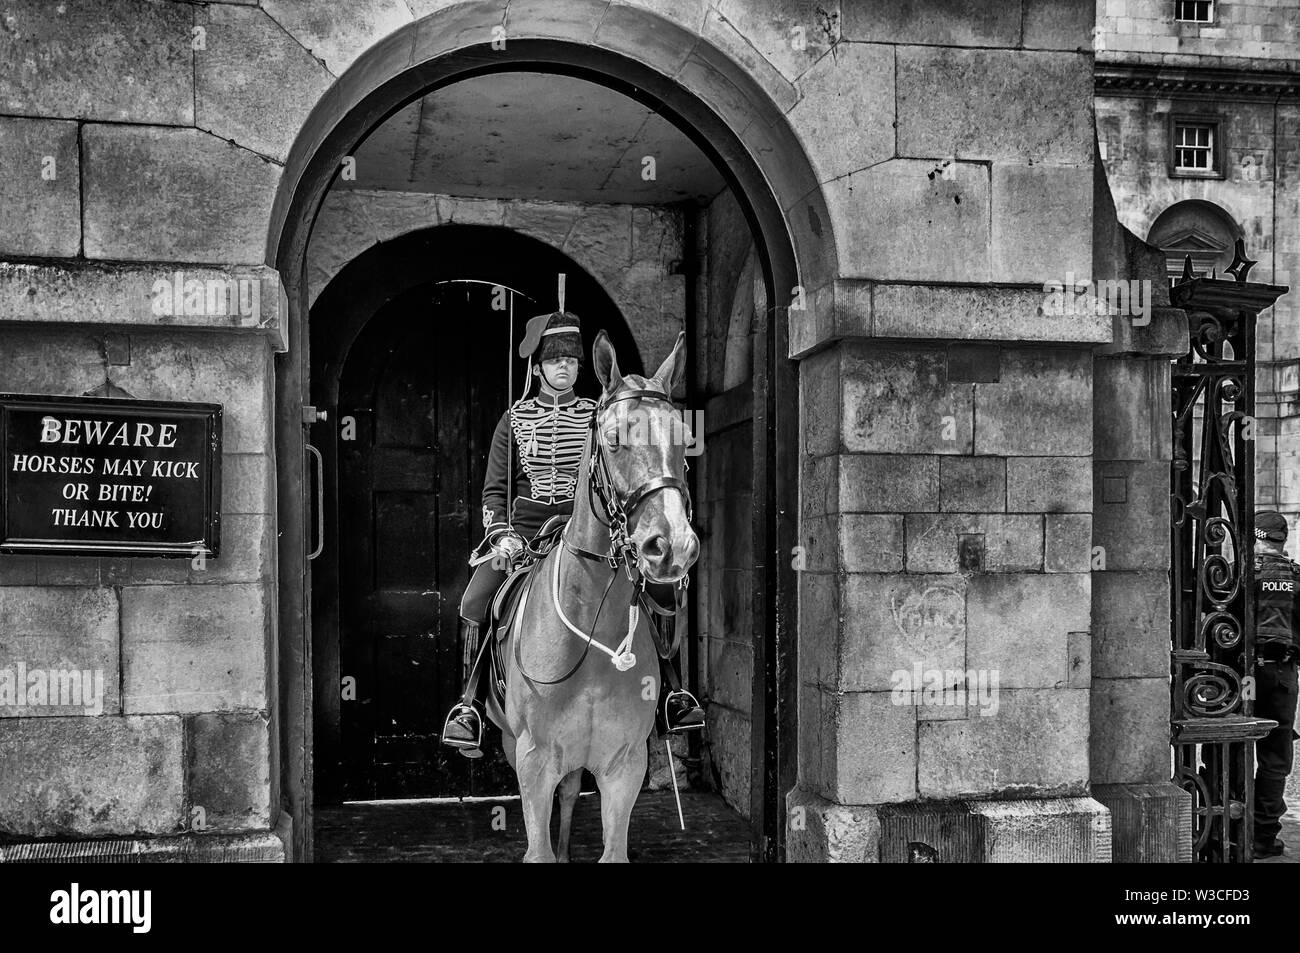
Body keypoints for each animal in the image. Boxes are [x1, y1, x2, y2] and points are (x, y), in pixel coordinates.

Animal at [489, 329, 699, 863]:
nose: (673, 546)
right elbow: (538, 849)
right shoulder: (534, 760)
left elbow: (611, 847)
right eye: (613, 438)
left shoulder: (625, 765)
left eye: (685, 438)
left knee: (569, 793)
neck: (590, 630)